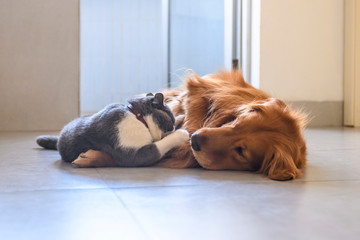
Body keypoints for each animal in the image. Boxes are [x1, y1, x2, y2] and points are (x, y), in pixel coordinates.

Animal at [36, 93, 188, 167]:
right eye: (170, 120)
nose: (174, 126)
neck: (138, 116)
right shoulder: (133, 155)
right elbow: (160, 144)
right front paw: (182, 133)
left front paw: (181, 117)